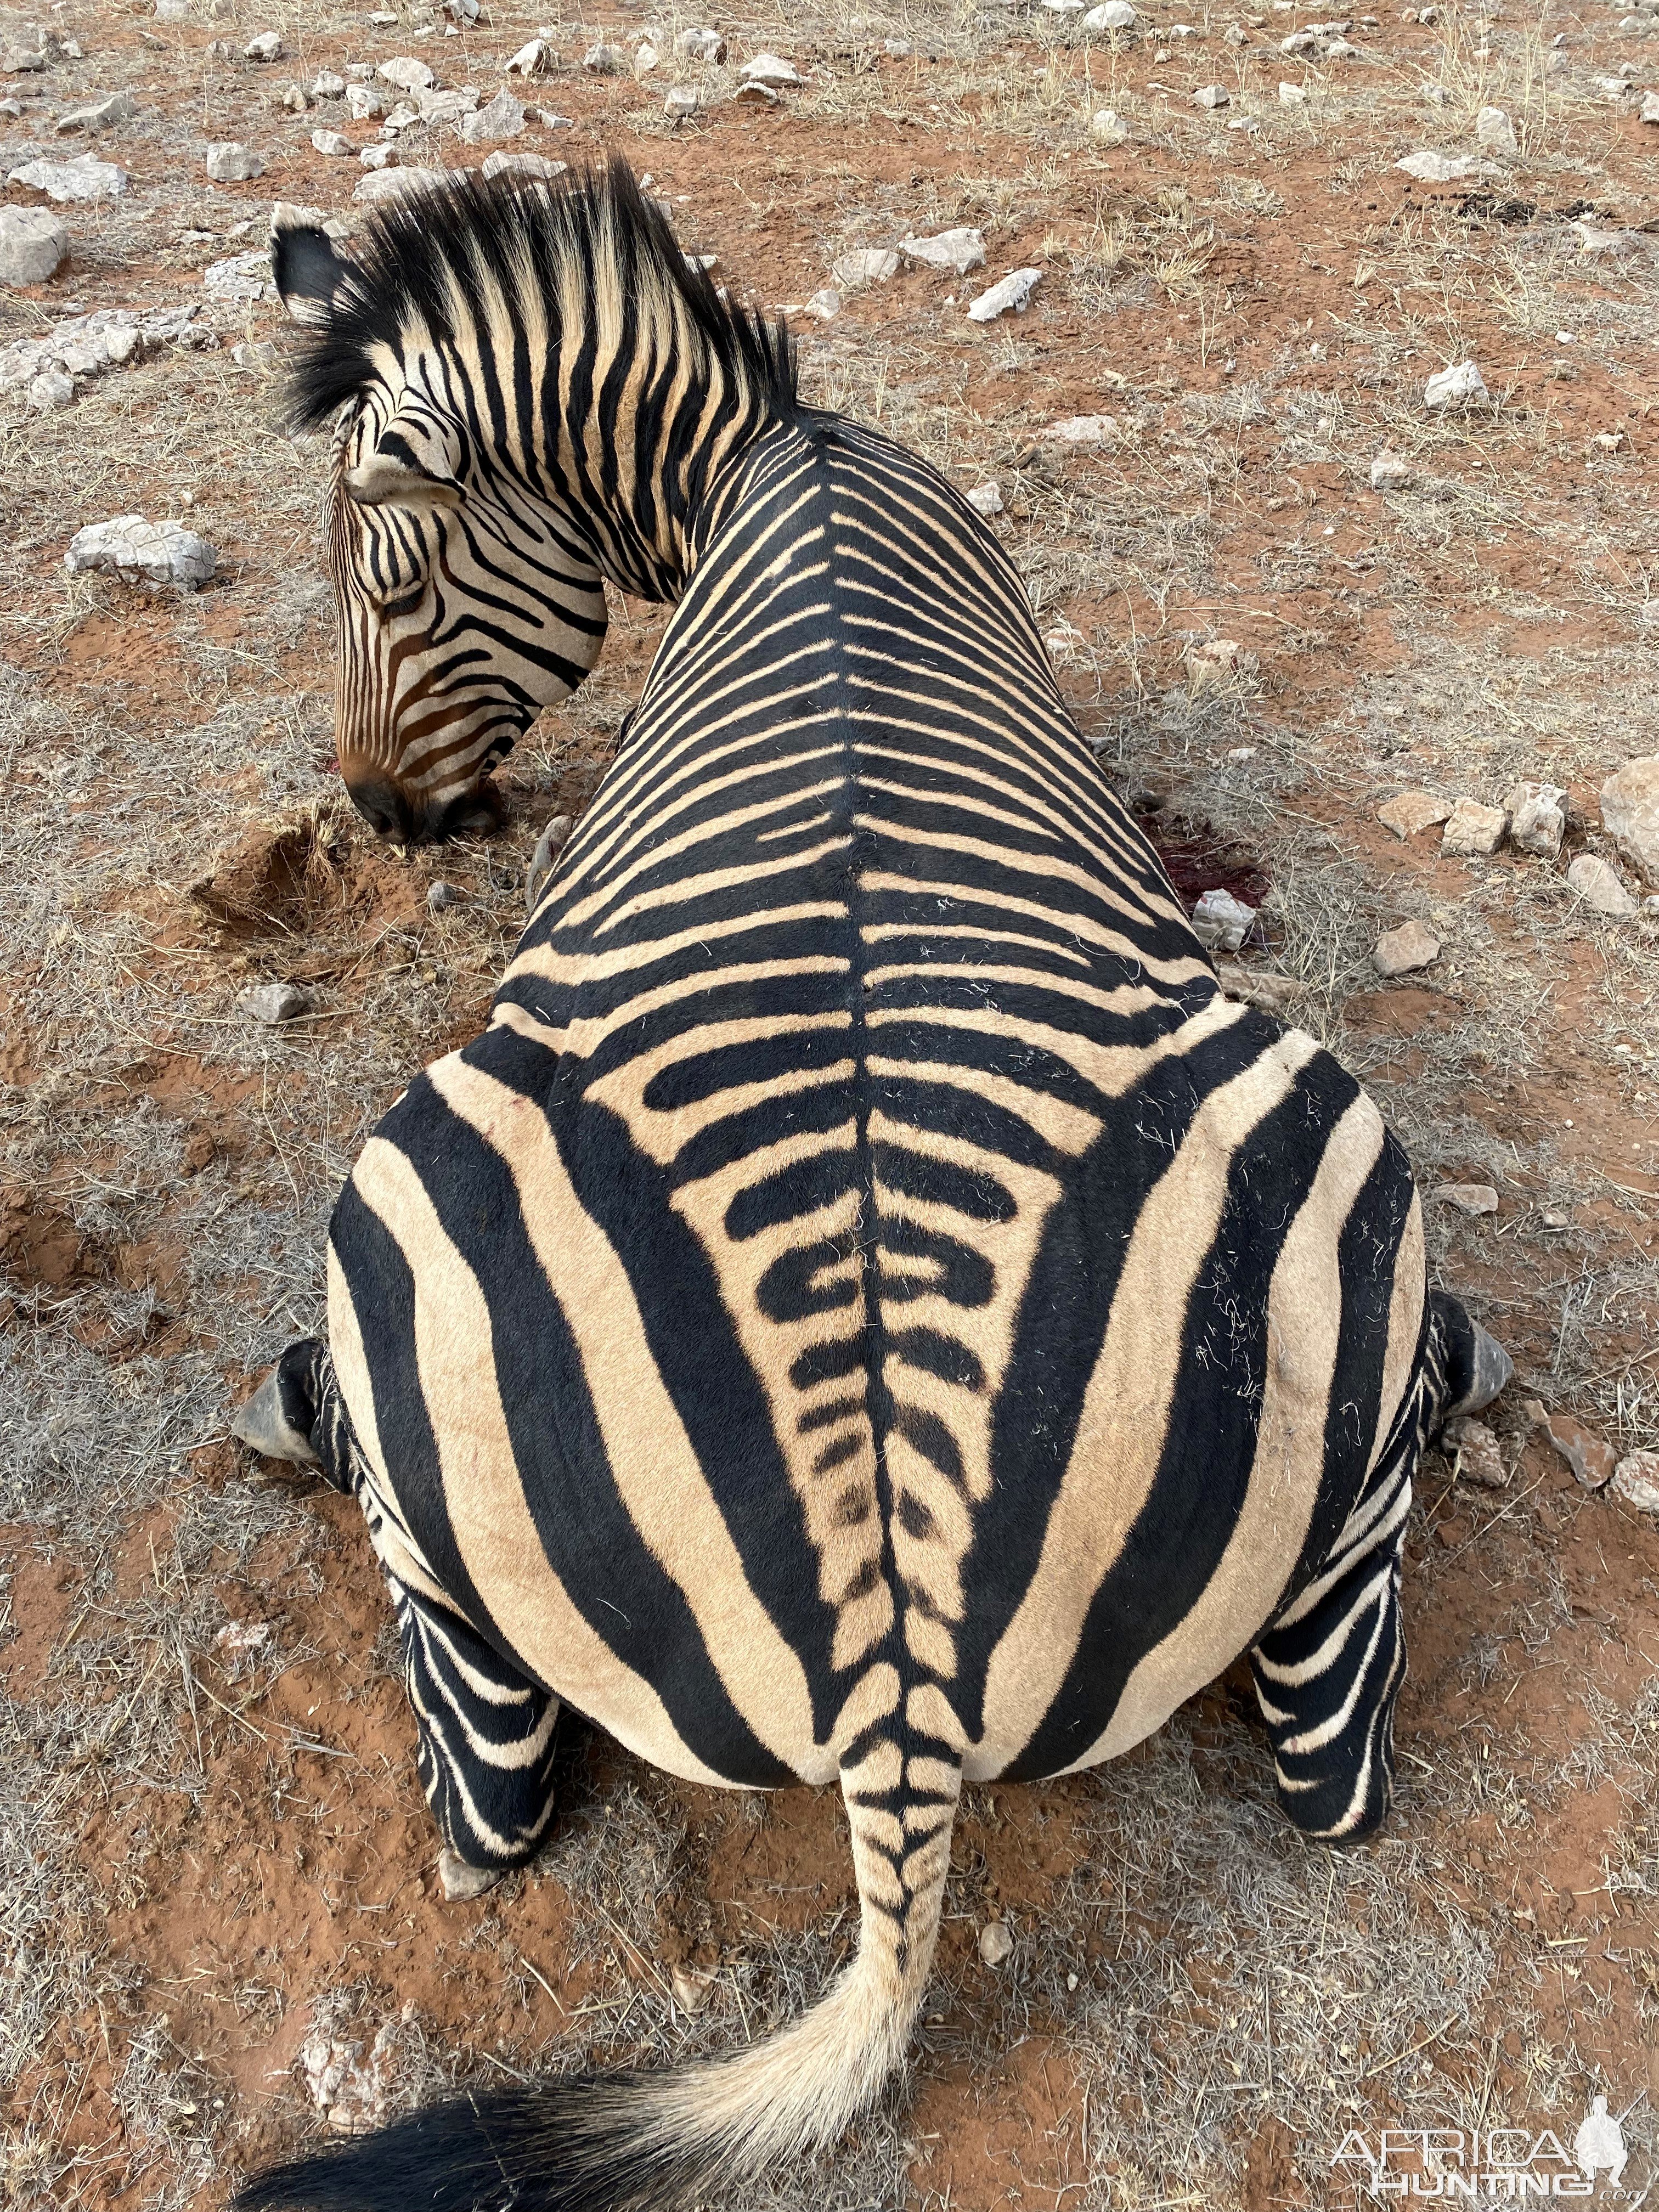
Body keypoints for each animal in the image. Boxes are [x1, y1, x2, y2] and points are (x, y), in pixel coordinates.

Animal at [236, 168, 1522, 2212]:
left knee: (476, 1804)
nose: (375, 815)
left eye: (388, 583)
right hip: (1335, 1311)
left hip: (409, 1283)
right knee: (1343, 1770)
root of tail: (895, 1682)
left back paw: (288, 1414)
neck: (781, 454)